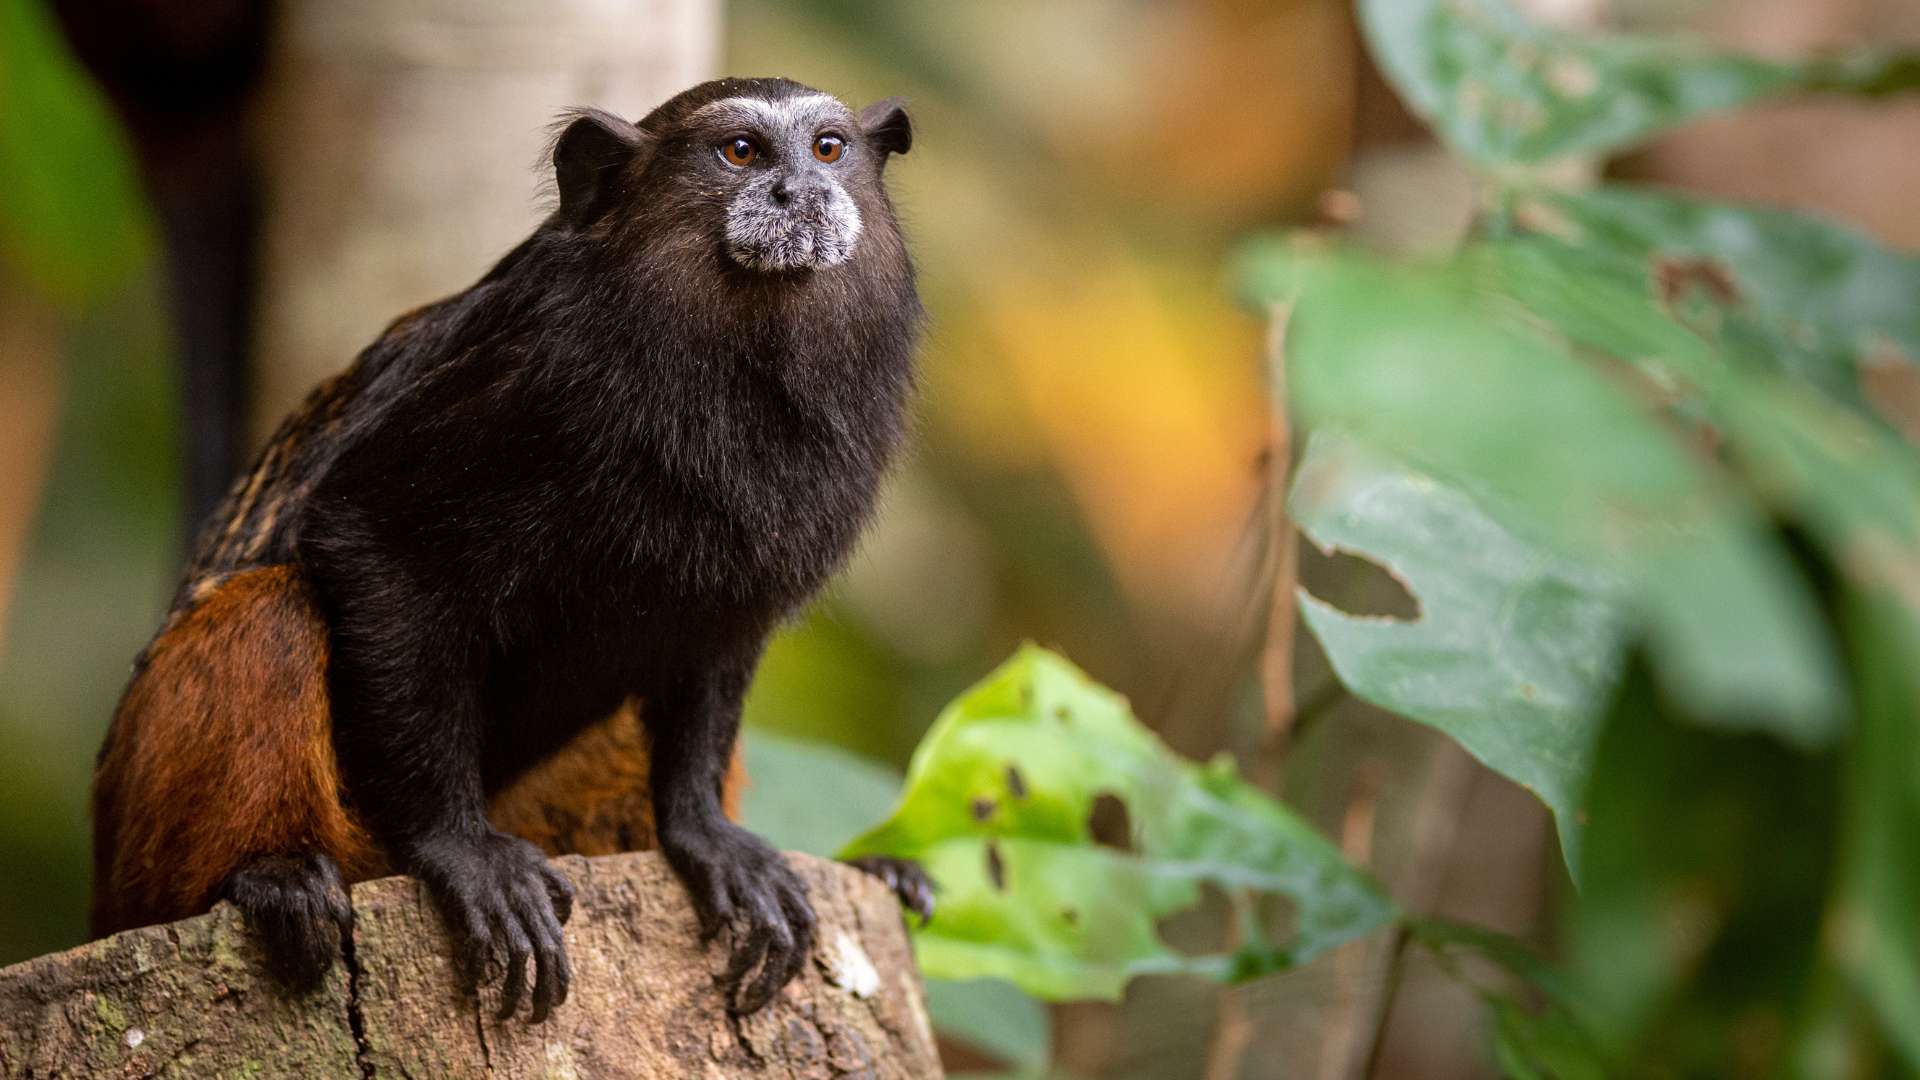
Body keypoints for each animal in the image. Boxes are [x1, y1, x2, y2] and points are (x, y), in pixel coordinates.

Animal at [93, 77, 933, 1014]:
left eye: (828, 149)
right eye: (741, 153)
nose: (801, 192)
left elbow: (716, 641)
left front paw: (704, 832)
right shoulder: (524, 375)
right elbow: (369, 537)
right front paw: (459, 849)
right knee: (267, 610)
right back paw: (268, 874)